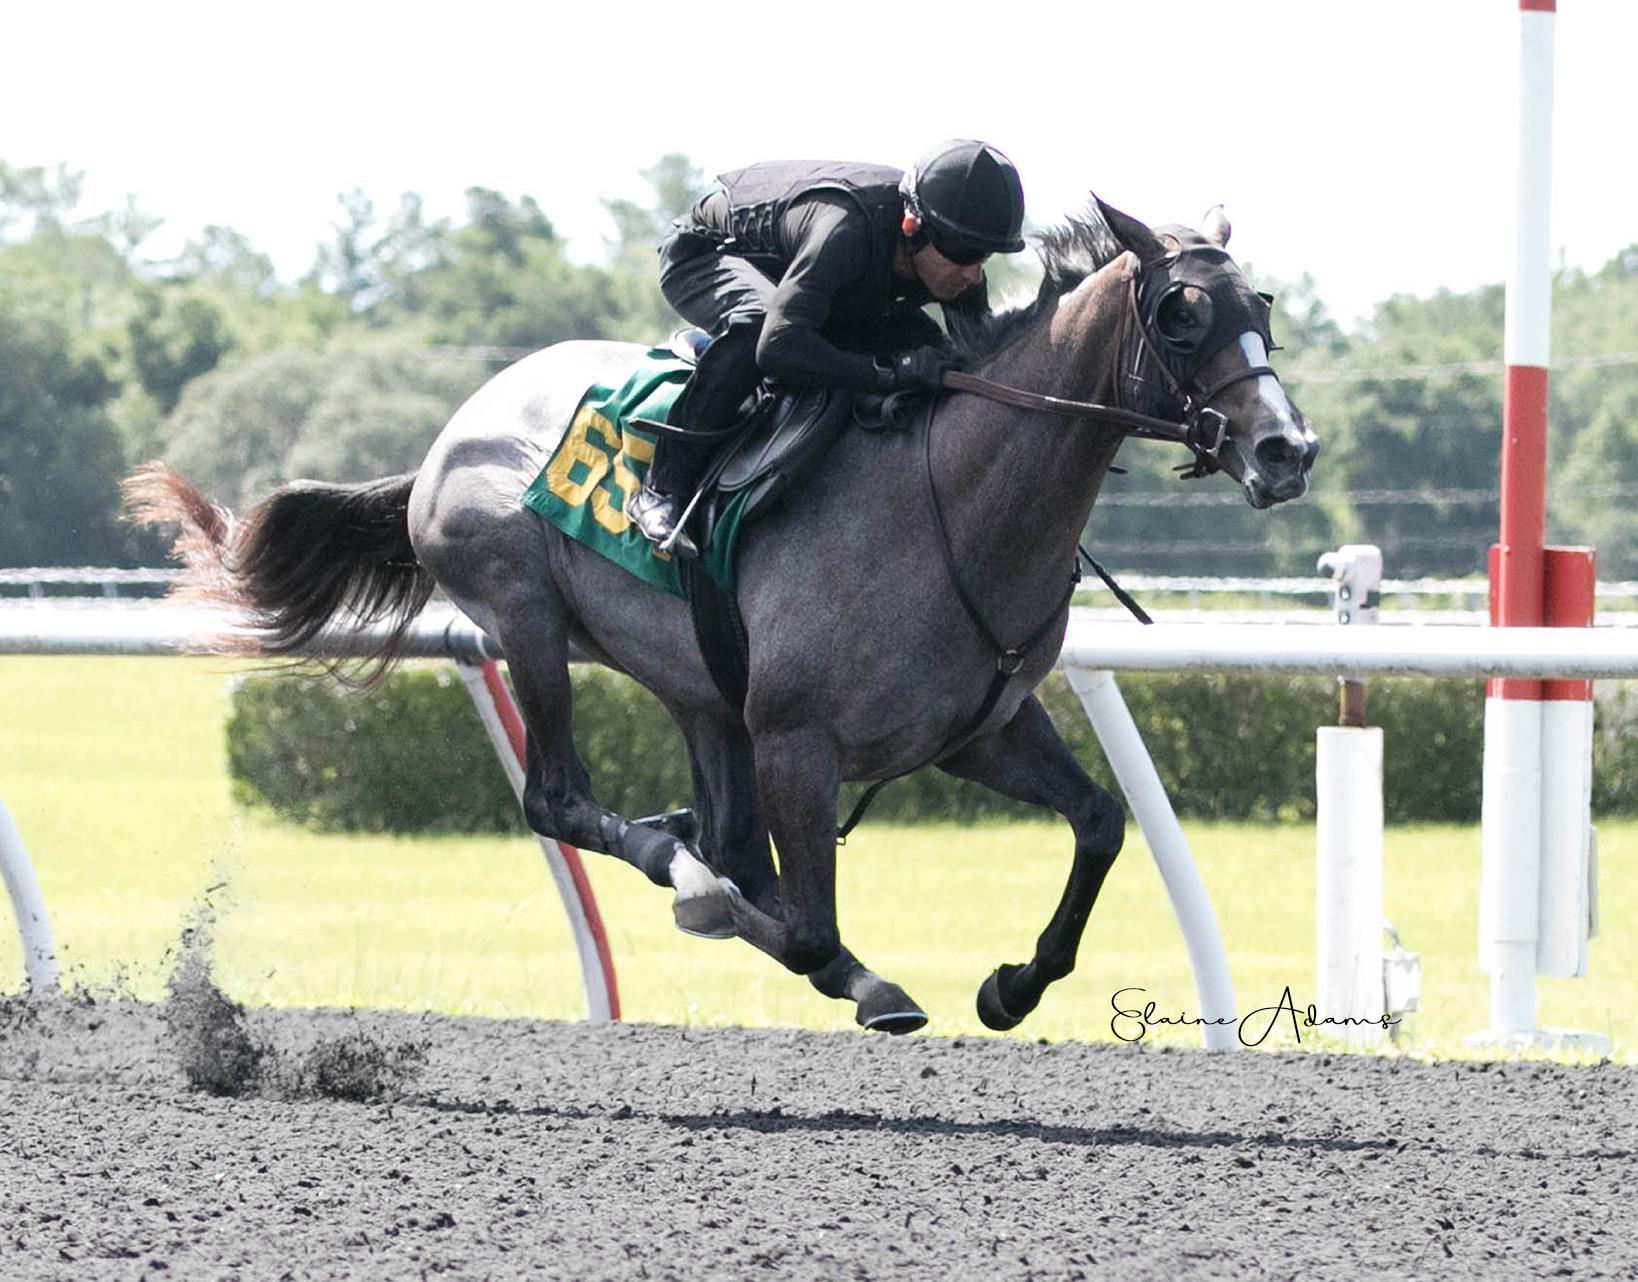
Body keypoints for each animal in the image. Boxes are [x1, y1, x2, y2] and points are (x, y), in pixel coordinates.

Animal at [128, 197, 1317, 1036]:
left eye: (1261, 310)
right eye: (1180, 314)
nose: (1286, 450)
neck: (950, 496)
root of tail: (445, 437)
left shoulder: (977, 728)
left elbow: (1102, 822)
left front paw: (1014, 986)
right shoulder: (797, 738)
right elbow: (812, 926)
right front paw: (814, 951)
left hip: (696, 681)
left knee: (714, 817)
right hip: (527, 617)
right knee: (563, 801)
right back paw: (683, 867)